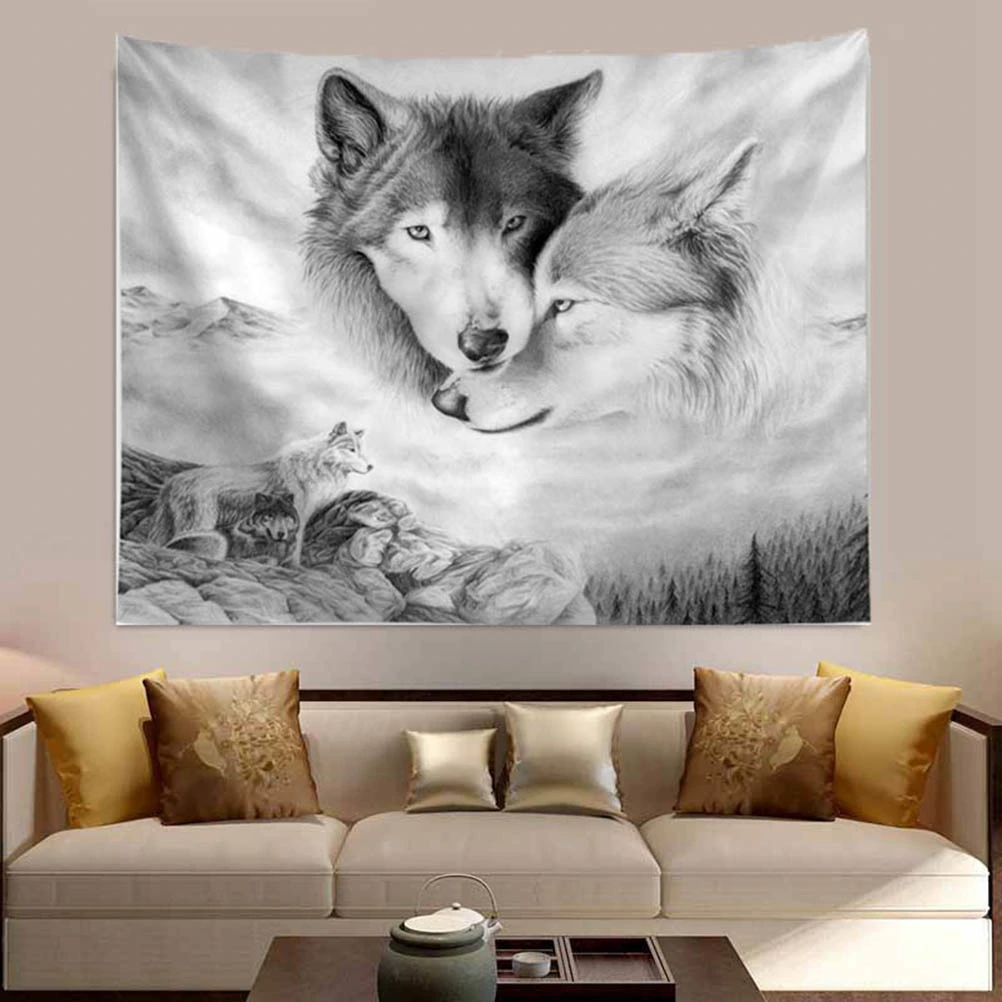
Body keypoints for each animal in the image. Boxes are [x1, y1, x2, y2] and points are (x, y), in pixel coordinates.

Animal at [148, 422, 371, 565]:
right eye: (351, 450)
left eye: (361, 450)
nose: (371, 466)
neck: (315, 466)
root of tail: (172, 481)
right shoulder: (297, 517)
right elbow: (295, 548)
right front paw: (293, 568)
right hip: (200, 524)